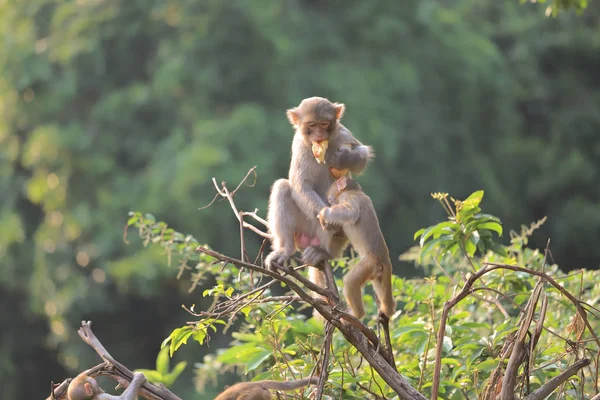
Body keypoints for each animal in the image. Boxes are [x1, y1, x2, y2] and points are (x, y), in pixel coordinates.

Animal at [266, 96, 372, 296]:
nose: (319, 134)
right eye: (312, 125)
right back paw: (285, 249)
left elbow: (362, 155)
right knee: (282, 187)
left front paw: (343, 159)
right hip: (302, 229)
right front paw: (326, 215)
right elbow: (300, 184)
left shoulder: (343, 134)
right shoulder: (299, 145)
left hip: (334, 240)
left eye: (324, 123)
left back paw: (323, 252)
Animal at [316, 176, 396, 322]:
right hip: (377, 272)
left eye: (331, 200)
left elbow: (351, 213)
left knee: (350, 282)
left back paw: (355, 315)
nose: (330, 203)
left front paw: (324, 214)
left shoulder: (347, 197)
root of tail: (384, 257)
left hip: (369, 263)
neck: (355, 191)